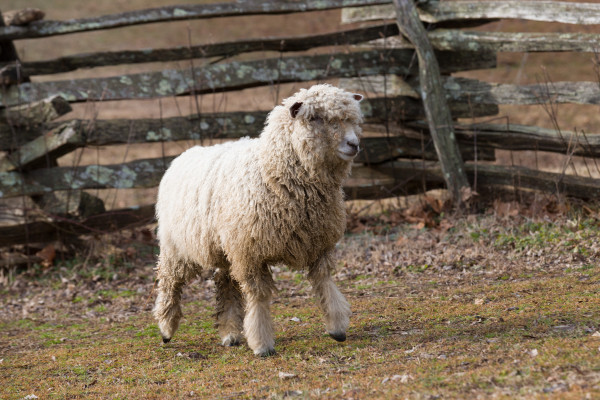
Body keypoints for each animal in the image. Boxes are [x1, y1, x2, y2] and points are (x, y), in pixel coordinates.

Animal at [152, 84, 364, 356]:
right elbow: (259, 297)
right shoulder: (250, 252)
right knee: (170, 281)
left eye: (352, 119)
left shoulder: (318, 244)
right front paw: (262, 344)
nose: (353, 144)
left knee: (225, 283)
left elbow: (325, 284)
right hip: (177, 246)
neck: (273, 170)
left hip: (225, 246)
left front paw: (337, 328)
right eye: (316, 118)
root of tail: (184, 154)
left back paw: (230, 333)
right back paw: (166, 328)